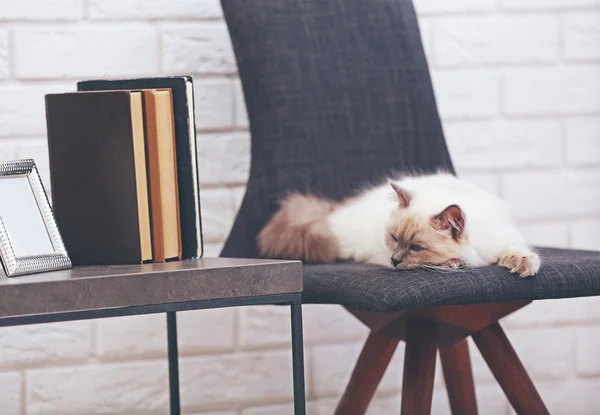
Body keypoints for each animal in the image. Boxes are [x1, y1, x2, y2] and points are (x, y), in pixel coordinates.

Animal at [255, 171, 540, 278]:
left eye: (416, 247)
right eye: (394, 239)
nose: (394, 260)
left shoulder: (502, 239)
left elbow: (517, 250)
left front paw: (523, 264)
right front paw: (454, 263)